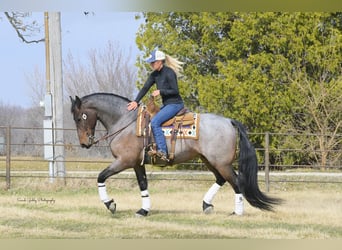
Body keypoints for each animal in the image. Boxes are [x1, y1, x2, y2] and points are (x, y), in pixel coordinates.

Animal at [69, 93, 280, 216]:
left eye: (80, 118)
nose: (84, 143)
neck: (125, 122)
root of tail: (229, 121)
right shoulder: (137, 163)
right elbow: (143, 184)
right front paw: (144, 210)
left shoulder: (124, 161)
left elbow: (101, 176)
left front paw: (110, 204)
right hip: (209, 160)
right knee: (221, 179)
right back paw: (206, 205)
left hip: (221, 163)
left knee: (236, 183)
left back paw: (237, 212)